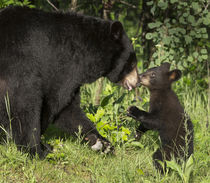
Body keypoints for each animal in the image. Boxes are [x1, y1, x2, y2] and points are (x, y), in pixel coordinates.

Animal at [0, 6, 139, 157]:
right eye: (132, 63)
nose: (137, 81)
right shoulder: (63, 65)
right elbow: (55, 101)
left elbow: (70, 109)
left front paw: (102, 143)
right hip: (19, 68)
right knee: (26, 105)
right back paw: (36, 150)